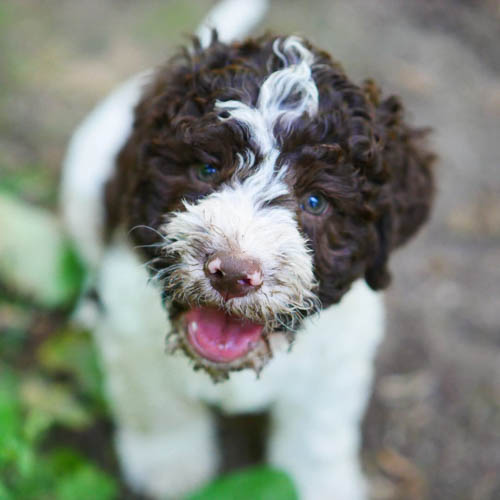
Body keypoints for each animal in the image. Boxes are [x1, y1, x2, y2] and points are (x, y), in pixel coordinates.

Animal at [59, 1, 434, 498]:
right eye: (206, 169)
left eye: (316, 201)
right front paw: (170, 468)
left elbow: (318, 437)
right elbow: (157, 407)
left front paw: (321, 484)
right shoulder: (133, 333)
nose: (233, 273)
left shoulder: (339, 360)